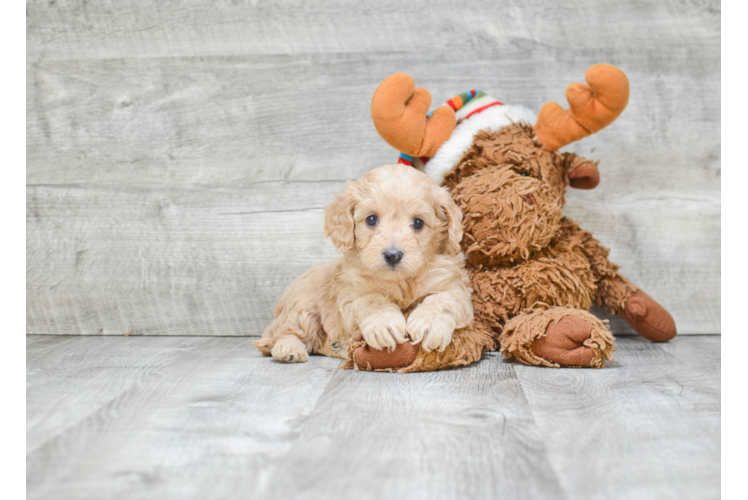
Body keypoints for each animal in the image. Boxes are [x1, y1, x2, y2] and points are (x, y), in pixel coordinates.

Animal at [254, 164, 470, 364]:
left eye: (418, 223)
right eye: (371, 219)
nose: (393, 255)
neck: (399, 281)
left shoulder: (455, 288)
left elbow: (442, 299)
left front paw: (429, 324)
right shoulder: (350, 295)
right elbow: (371, 300)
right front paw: (384, 323)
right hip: (302, 309)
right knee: (282, 335)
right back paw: (289, 350)